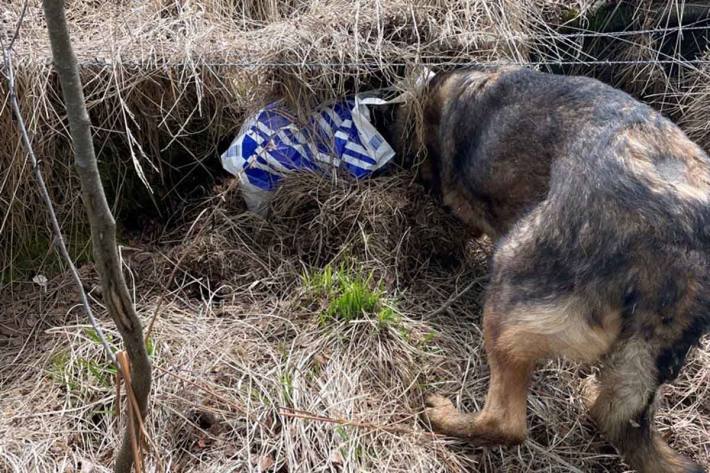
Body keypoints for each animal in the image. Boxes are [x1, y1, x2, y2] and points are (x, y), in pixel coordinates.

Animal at [392, 66, 710, 472]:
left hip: (511, 278)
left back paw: (448, 418)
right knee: (612, 414)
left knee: (506, 422)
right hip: (643, 362)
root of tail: (683, 247)